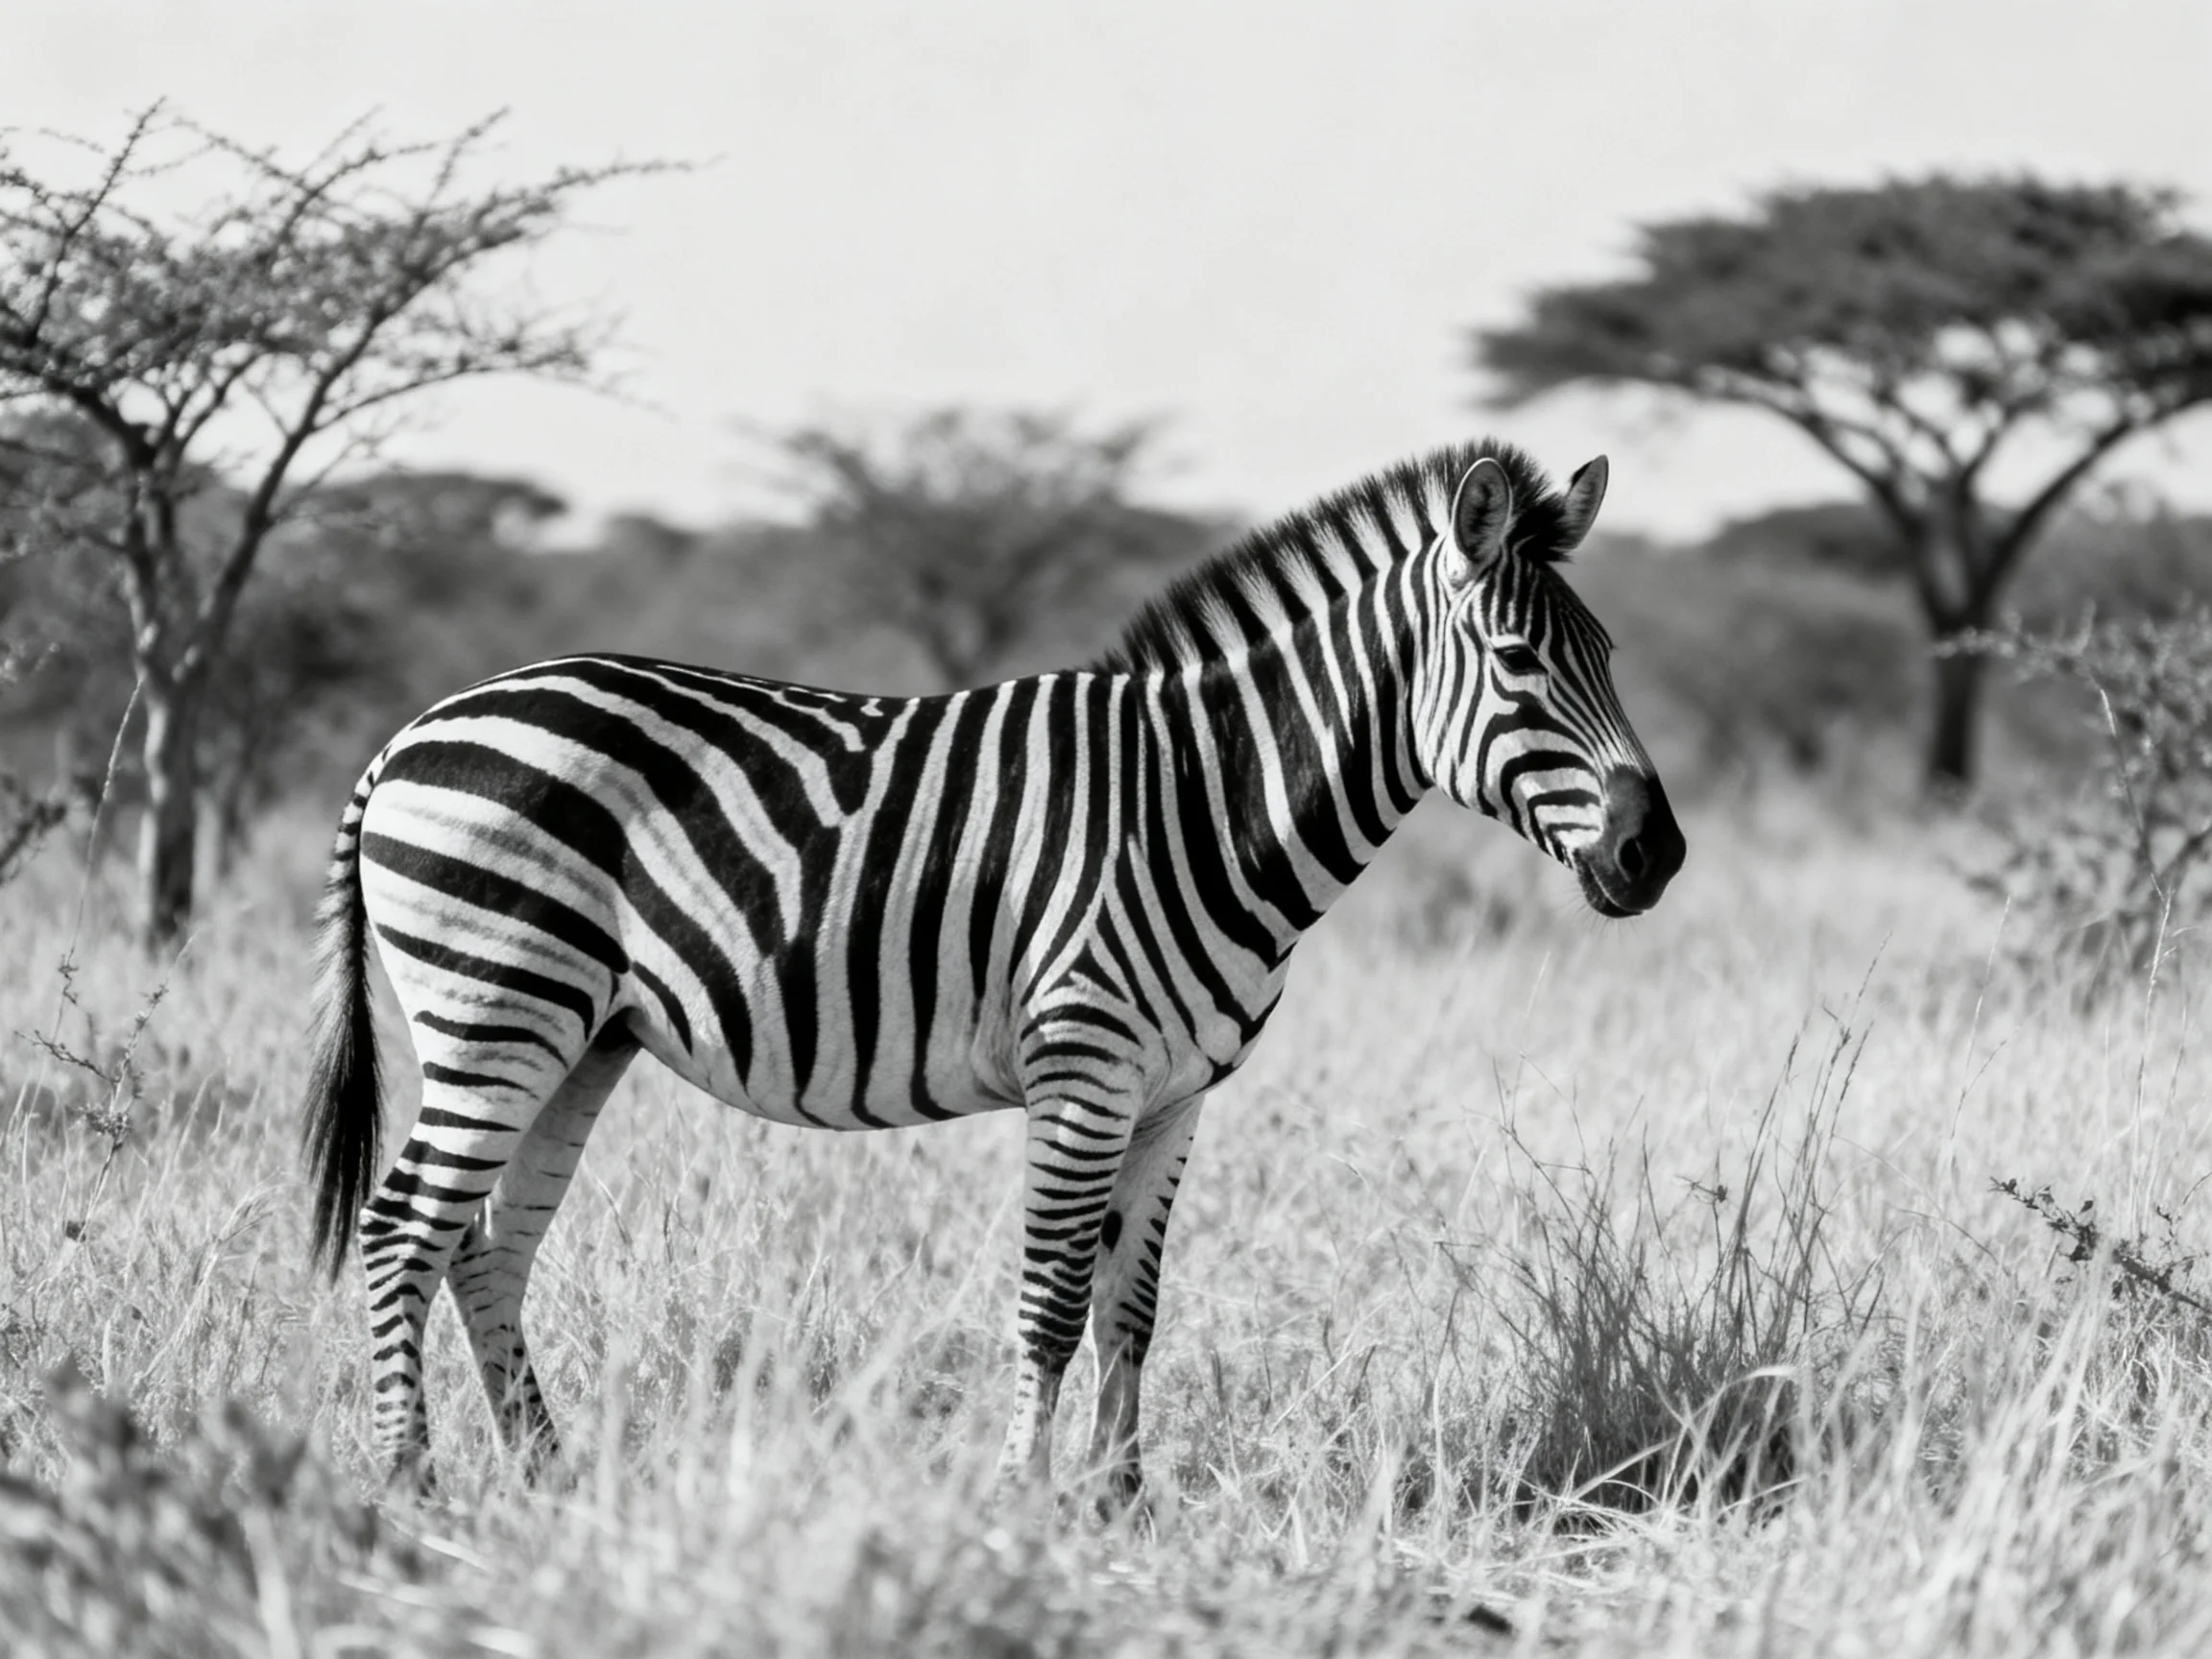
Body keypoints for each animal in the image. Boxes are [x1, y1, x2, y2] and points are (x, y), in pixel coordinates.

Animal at [302, 438, 1685, 1504]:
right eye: (1520, 665)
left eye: (1615, 656)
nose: (1656, 853)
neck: (1199, 801)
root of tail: (410, 733)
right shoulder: (1085, 1069)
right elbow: (1054, 1302)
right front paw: (1023, 1500)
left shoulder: (1174, 1096)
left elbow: (1133, 1304)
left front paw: (1120, 1504)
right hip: (496, 1007)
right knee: (402, 1226)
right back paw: (410, 1490)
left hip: (580, 1035)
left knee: (485, 1247)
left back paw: (543, 1479)